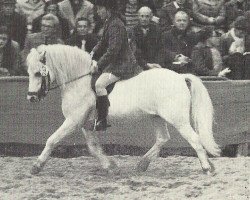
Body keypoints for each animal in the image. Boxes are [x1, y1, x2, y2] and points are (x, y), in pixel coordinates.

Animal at [25, 45, 221, 175]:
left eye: (38, 73)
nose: (31, 98)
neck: (79, 82)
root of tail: (180, 77)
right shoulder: (85, 124)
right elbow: (93, 147)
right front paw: (110, 166)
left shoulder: (73, 121)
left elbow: (52, 140)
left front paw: (36, 166)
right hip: (157, 117)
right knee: (162, 138)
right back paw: (142, 165)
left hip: (178, 120)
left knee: (194, 139)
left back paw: (206, 168)